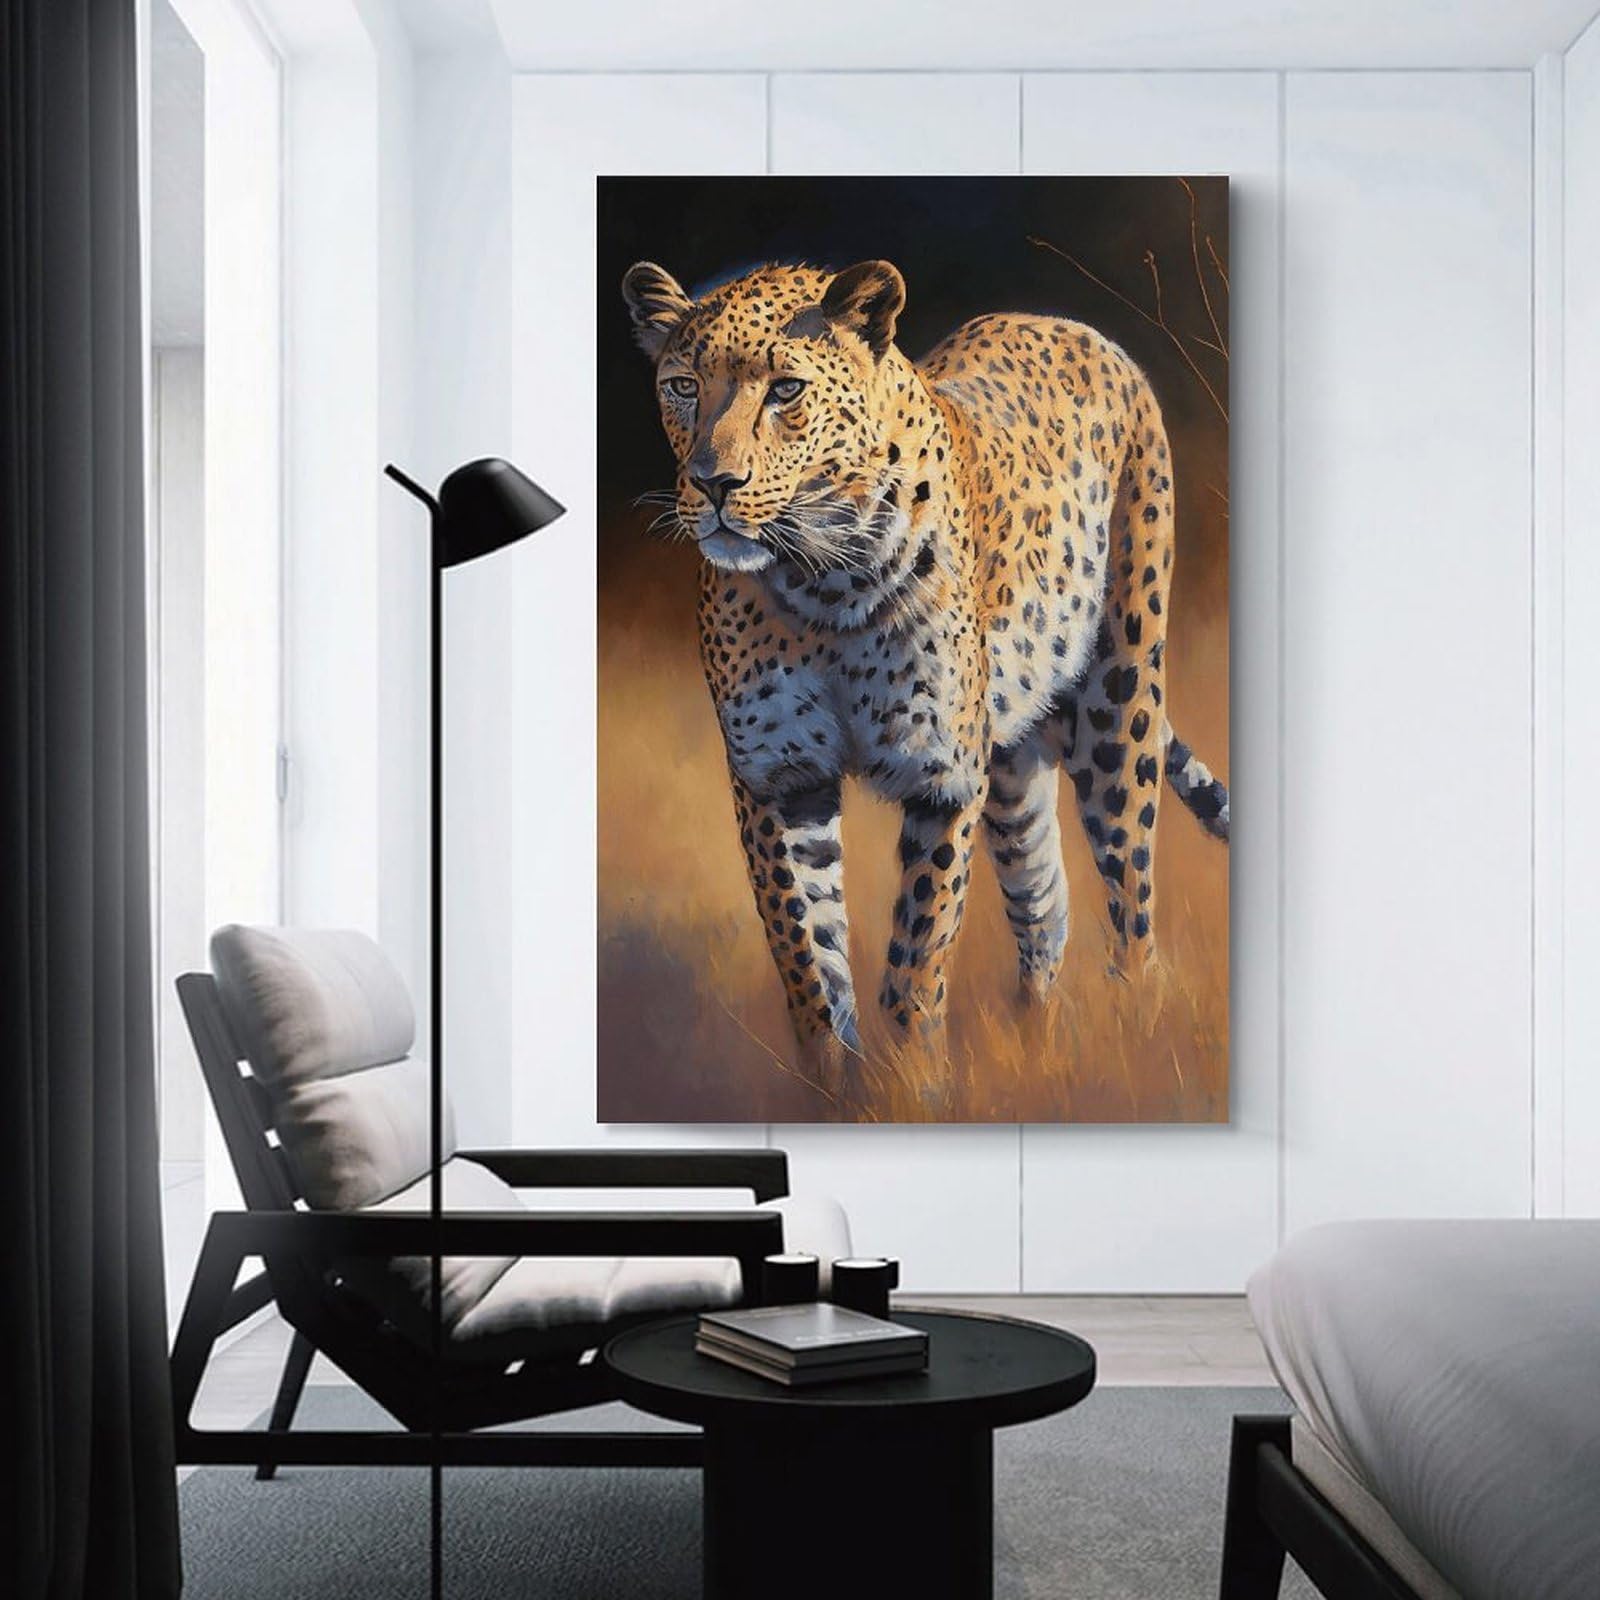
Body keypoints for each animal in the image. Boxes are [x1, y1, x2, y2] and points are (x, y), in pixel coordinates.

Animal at [621, 257, 1229, 1093]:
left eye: (785, 390)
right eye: (682, 386)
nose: (715, 484)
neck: (823, 583)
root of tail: (1069, 324)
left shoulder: (942, 775)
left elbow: (917, 946)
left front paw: (915, 1085)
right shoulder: (777, 776)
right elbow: (806, 952)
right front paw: (835, 1090)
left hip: (1120, 701)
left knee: (1132, 896)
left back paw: (1137, 1044)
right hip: (1012, 761)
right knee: (1045, 905)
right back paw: (1038, 1047)